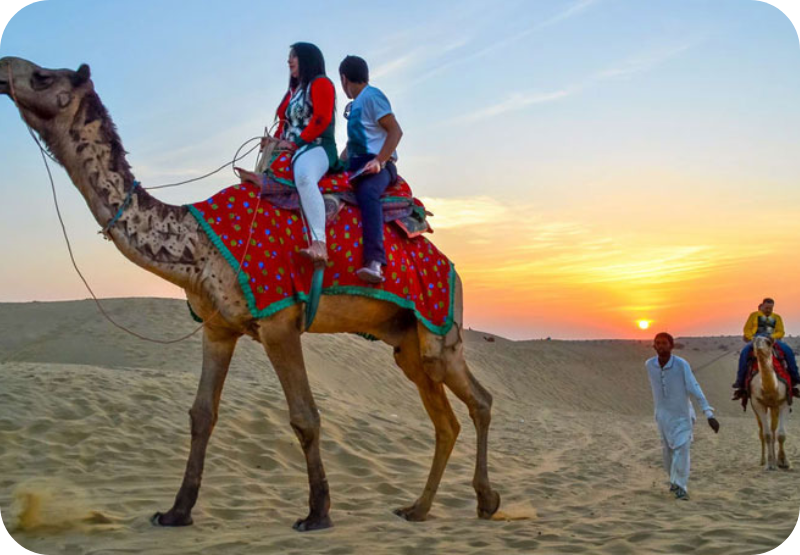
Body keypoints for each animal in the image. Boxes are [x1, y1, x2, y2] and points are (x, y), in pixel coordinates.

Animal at [0, 57, 500, 530]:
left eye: (43, 76)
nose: (4, 68)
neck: (198, 244)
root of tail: (452, 267)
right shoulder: (218, 327)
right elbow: (201, 414)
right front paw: (176, 512)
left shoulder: (279, 322)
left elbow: (305, 417)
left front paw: (317, 514)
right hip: (406, 342)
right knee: (446, 420)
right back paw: (418, 508)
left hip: (439, 327)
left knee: (479, 400)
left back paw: (486, 501)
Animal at [749, 336, 791, 471]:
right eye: (754, 341)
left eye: (768, 342)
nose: (758, 345)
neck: (771, 389)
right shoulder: (758, 403)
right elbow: (766, 435)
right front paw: (770, 464)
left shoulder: (783, 402)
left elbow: (781, 434)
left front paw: (783, 462)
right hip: (757, 409)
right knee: (762, 432)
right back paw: (763, 460)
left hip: (774, 408)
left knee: (773, 430)